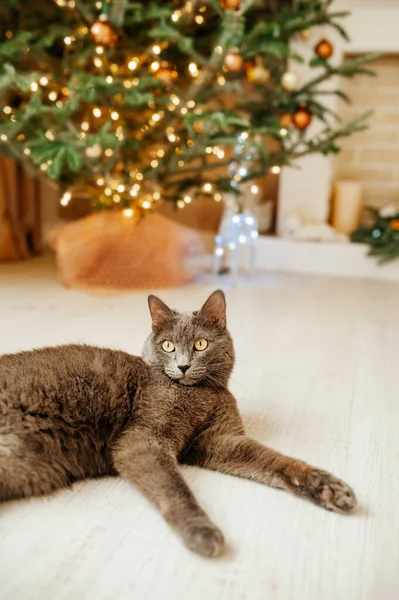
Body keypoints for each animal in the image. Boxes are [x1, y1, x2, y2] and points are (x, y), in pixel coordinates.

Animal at [0, 290, 356, 556]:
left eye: (200, 344)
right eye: (168, 345)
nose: (183, 366)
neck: (201, 394)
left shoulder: (218, 440)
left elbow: (274, 459)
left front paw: (326, 487)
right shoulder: (143, 439)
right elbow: (174, 487)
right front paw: (201, 531)